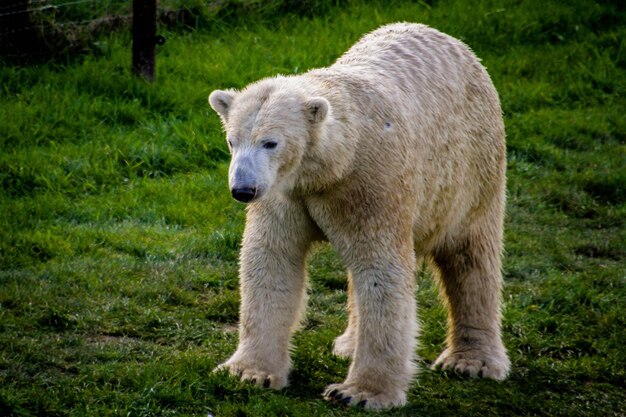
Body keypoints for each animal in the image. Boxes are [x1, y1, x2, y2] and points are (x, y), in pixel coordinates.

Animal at [207, 22, 510, 410]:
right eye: (232, 141)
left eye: (270, 142)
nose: (243, 190)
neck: (336, 161)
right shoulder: (286, 193)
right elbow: (271, 260)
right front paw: (249, 372)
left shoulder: (372, 183)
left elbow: (382, 271)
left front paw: (359, 392)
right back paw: (349, 343)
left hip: (472, 166)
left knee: (471, 253)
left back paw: (471, 361)